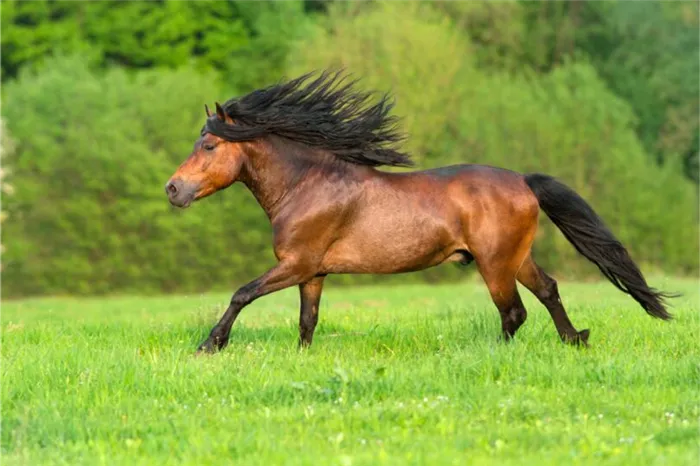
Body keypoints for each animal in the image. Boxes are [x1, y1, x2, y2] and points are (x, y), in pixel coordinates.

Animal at [164, 70, 672, 354]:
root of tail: (523, 181)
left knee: (513, 312)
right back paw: (575, 339)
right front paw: (301, 358)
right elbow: (307, 320)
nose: (172, 189)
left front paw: (209, 345)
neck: (306, 185)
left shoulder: (295, 264)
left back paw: (496, 353)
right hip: (515, 257)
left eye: (208, 146)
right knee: (547, 291)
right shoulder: (313, 271)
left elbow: (242, 294)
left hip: (494, 263)